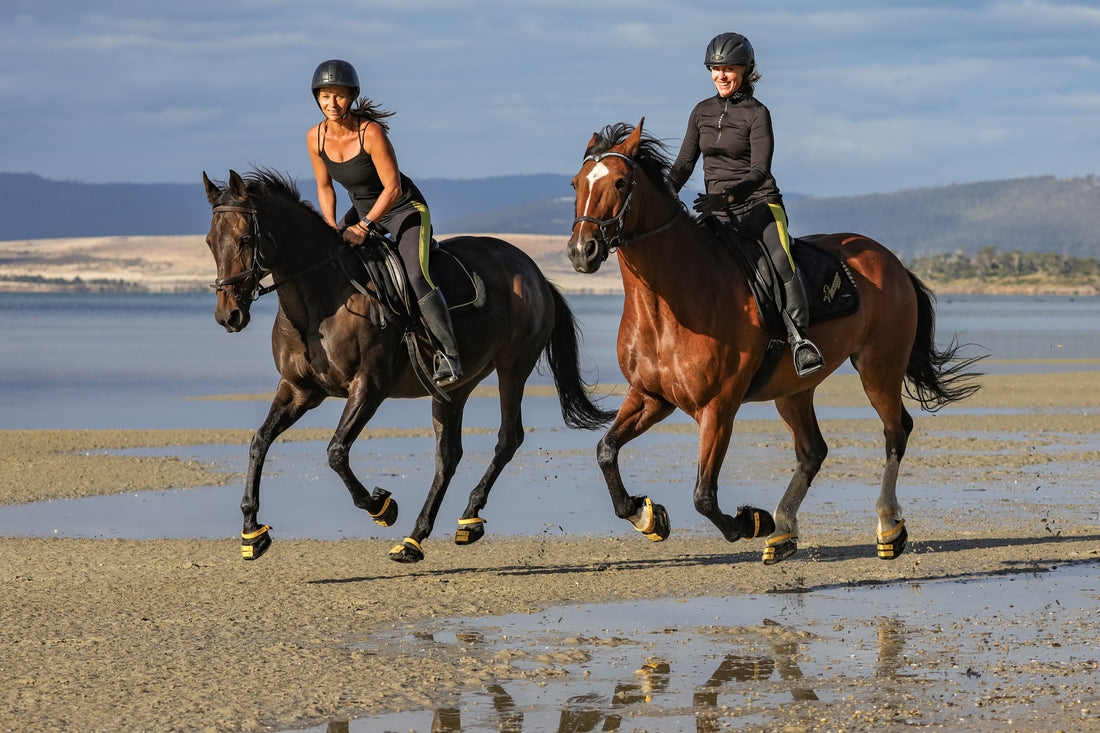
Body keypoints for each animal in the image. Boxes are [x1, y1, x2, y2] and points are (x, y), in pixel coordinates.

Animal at [202, 168, 614, 563]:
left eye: (244, 240)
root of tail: (534, 272)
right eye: (209, 242)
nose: (228, 315)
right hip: (454, 387)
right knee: (448, 455)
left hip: (513, 367)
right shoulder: (298, 390)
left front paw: (381, 507)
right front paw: (252, 532)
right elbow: (259, 441)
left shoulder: (369, 386)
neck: (319, 300)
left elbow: (336, 452)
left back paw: (468, 517)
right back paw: (416, 539)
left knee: (507, 439)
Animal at [566, 121, 982, 564]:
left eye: (620, 182)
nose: (581, 250)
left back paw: (887, 527)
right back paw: (784, 532)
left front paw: (751, 521)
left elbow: (703, 496)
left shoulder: (718, 408)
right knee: (813, 451)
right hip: (794, 389)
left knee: (895, 432)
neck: (671, 299)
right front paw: (646, 516)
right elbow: (606, 451)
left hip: (878, 369)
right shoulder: (650, 396)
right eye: (577, 183)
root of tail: (891, 260)